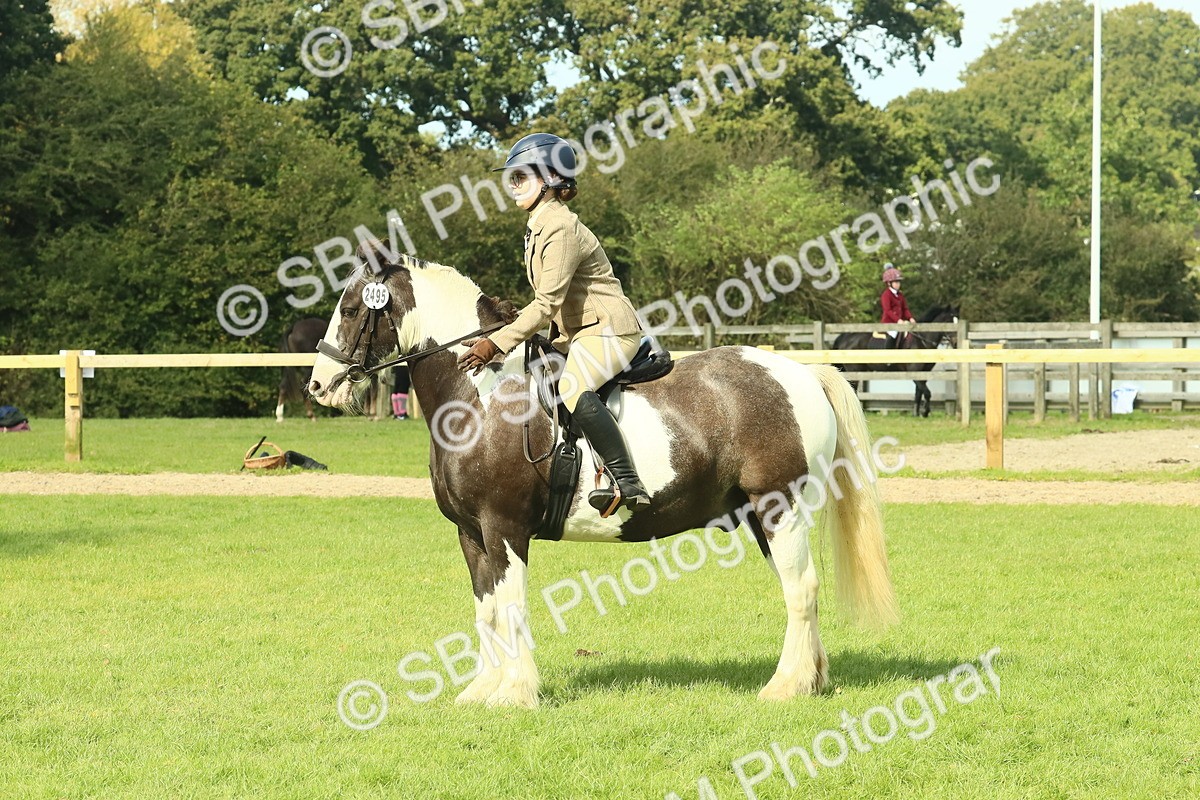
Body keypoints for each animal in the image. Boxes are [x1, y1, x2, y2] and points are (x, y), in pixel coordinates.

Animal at [306, 248, 897, 708]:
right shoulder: (471, 533)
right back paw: (811, 681)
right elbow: (486, 609)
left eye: (353, 309)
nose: (319, 386)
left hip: (781, 507)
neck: (481, 397)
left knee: (801, 589)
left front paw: (516, 693)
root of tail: (801, 373)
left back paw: (784, 686)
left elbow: (512, 607)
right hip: (761, 516)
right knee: (799, 589)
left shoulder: (504, 528)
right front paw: (483, 690)